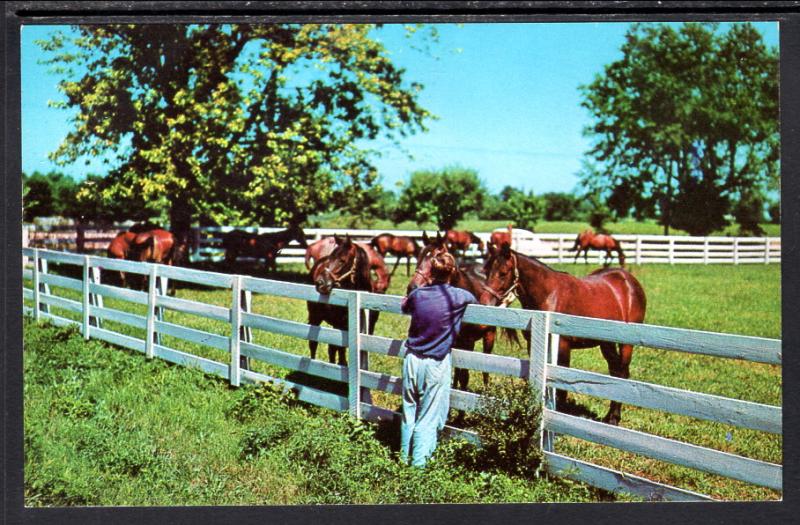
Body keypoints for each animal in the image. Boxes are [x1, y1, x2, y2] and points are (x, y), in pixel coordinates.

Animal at [306, 234, 382, 364]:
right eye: (330, 258)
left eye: (342, 260)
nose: (320, 283)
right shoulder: (340, 325)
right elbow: (340, 351)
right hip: (315, 316)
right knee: (314, 344)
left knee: (331, 348)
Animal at [410, 231, 510, 390]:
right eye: (419, 257)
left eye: (434, 260)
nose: (412, 287)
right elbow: (458, 372)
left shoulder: (468, 342)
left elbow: (465, 375)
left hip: (488, 336)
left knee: (485, 369)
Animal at [478, 244, 648, 424]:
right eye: (486, 270)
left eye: (503, 273)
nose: (484, 302)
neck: (549, 295)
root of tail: (628, 279)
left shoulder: (563, 348)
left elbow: (561, 387)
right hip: (606, 343)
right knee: (615, 373)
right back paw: (609, 416)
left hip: (626, 344)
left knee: (622, 374)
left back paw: (614, 418)